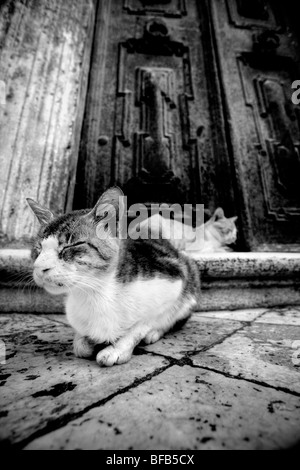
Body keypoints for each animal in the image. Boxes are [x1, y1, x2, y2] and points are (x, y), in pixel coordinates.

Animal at [27, 187, 200, 368]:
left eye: (71, 246)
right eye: (38, 248)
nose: (39, 267)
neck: (95, 293)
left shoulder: (173, 282)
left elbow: (143, 323)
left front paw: (117, 349)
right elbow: (80, 346)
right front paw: (87, 341)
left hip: (191, 271)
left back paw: (154, 333)